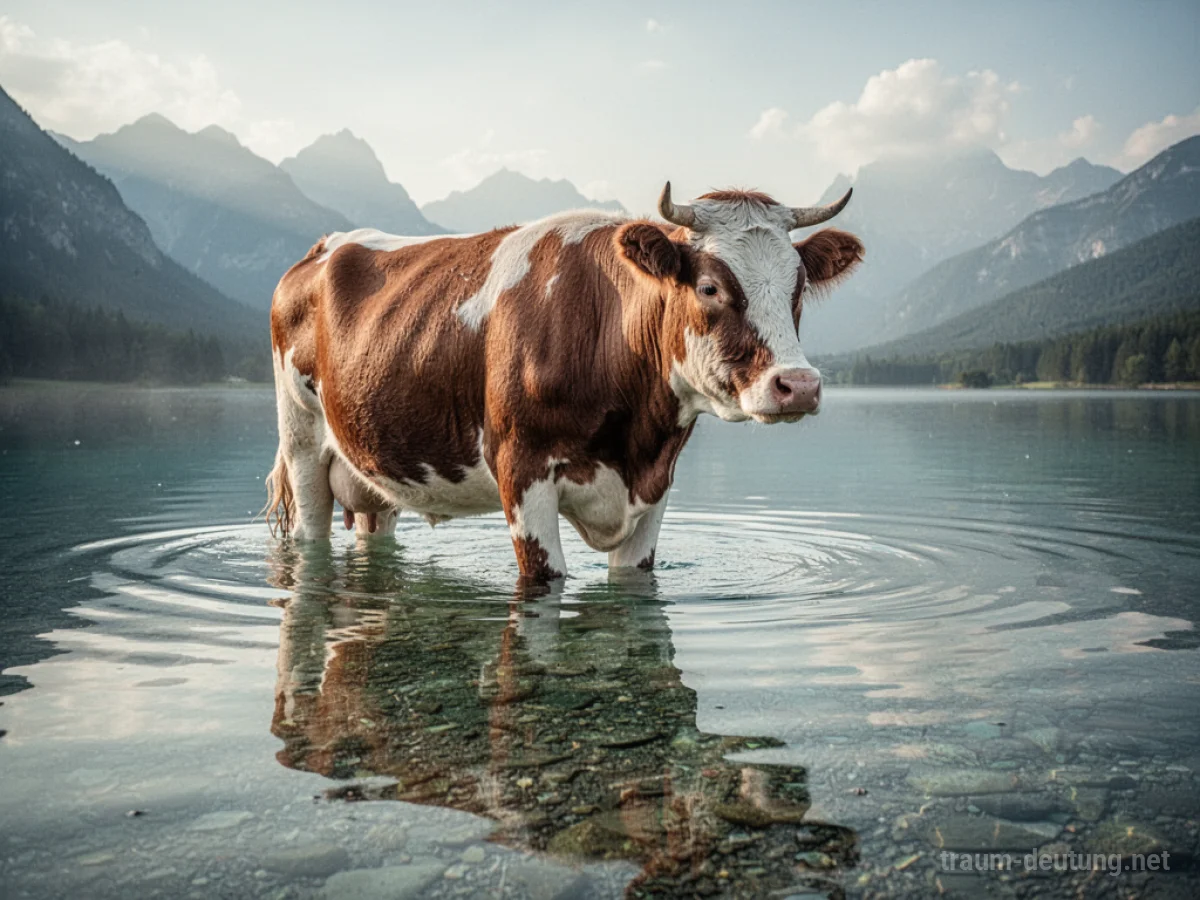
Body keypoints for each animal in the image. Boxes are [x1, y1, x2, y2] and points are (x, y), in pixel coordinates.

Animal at [265, 183, 863, 582]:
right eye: (710, 287)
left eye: (799, 287)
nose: (798, 385)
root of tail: (325, 247)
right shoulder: (520, 468)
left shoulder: (657, 483)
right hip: (301, 444)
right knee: (310, 530)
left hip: (374, 462)